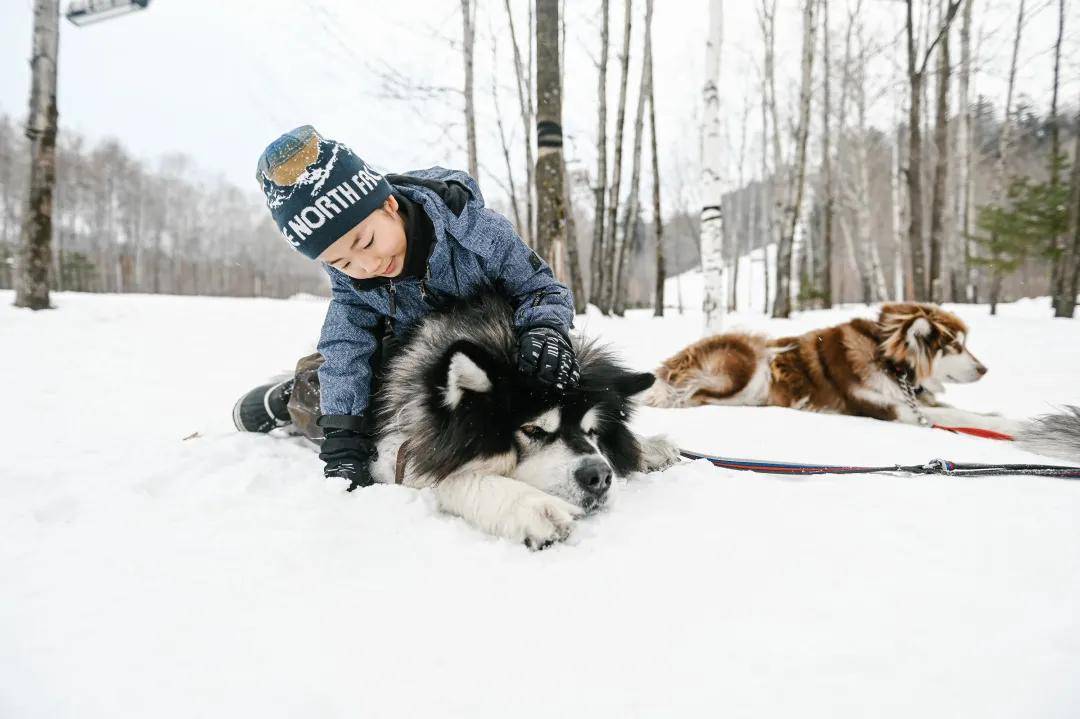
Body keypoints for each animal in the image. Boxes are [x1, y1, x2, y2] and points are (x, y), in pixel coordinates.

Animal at [367, 293, 678, 546]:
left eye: (592, 431)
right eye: (533, 430)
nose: (599, 477)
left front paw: (648, 447)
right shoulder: (397, 451)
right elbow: (450, 476)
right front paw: (532, 506)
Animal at [643, 300, 1023, 433]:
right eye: (956, 346)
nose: (984, 369)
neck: (889, 361)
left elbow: (961, 411)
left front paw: (999, 417)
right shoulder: (891, 408)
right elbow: (955, 414)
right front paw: (1013, 427)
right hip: (746, 364)